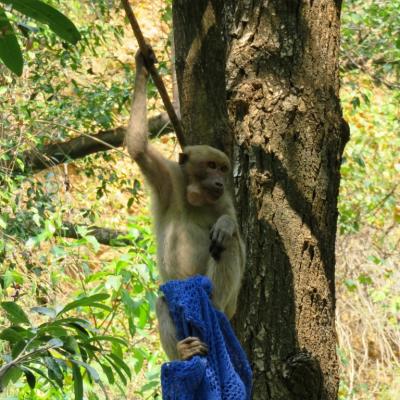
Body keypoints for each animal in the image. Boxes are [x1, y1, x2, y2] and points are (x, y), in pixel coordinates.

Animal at [125, 47, 245, 362]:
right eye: (211, 166)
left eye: (223, 168)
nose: (219, 181)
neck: (196, 197)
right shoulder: (168, 179)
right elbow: (138, 149)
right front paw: (143, 65)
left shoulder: (223, 201)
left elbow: (237, 238)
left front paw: (225, 225)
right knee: (163, 301)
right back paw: (184, 352)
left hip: (229, 304)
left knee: (226, 245)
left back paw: (214, 304)